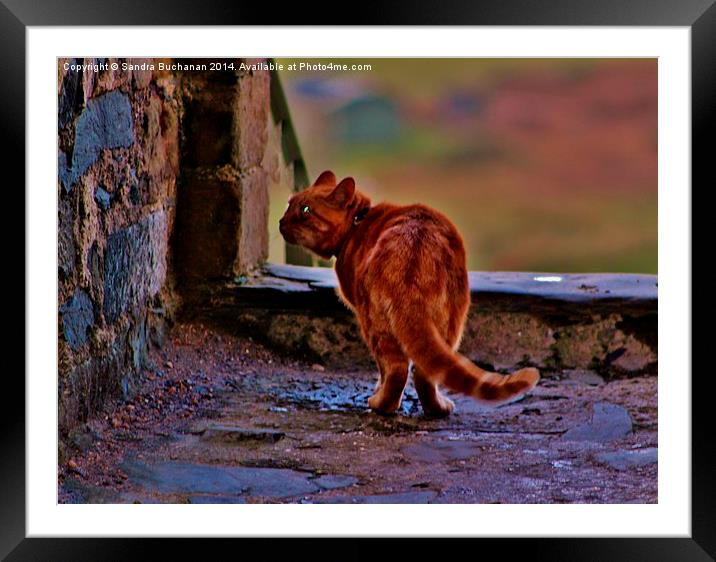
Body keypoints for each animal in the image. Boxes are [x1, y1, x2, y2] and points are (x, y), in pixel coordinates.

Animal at [280, 171, 536, 416]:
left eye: (305, 210)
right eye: (289, 203)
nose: (281, 221)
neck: (357, 222)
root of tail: (413, 249)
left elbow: (383, 372)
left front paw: (377, 389)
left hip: (374, 322)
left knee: (396, 370)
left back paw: (380, 404)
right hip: (452, 320)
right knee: (425, 373)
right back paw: (437, 409)